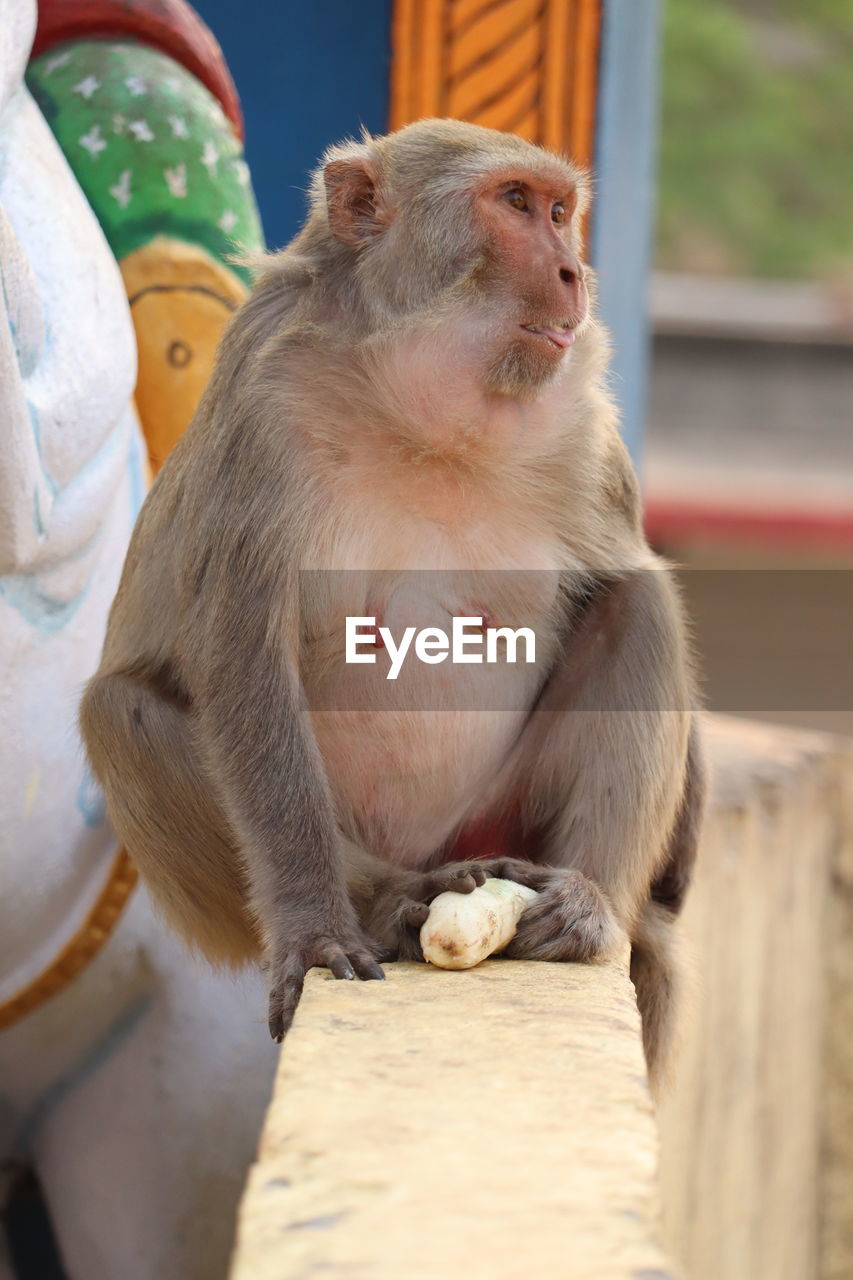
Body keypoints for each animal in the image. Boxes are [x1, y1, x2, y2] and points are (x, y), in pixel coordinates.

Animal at [79, 120, 701, 1090]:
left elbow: (620, 572)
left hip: (501, 811)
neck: (419, 412)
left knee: (638, 604)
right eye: (515, 203)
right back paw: (388, 900)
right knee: (120, 712)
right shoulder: (263, 405)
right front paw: (316, 925)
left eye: (560, 211)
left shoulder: (584, 426)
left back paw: (587, 900)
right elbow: (244, 657)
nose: (574, 272)